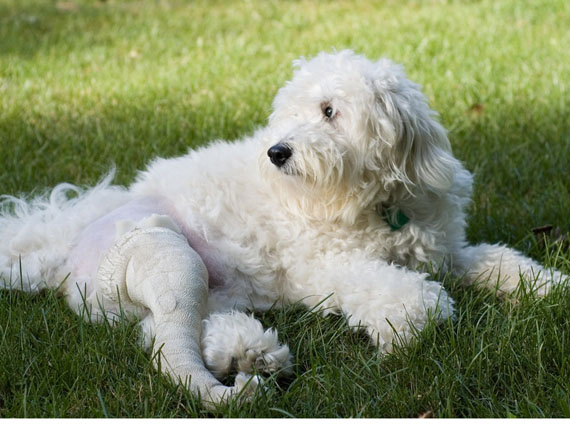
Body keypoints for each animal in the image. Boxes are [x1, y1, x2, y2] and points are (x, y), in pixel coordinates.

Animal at [2, 50, 564, 408]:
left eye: (329, 110)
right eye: (289, 114)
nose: (277, 152)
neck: (377, 203)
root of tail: (62, 238)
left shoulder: (446, 250)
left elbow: (498, 259)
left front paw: (546, 286)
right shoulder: (330, 267)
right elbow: (405, 295)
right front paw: (406, 324)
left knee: (169, 331)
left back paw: (245, 352)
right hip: (152, 261)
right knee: (164, 332)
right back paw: (249, 354)